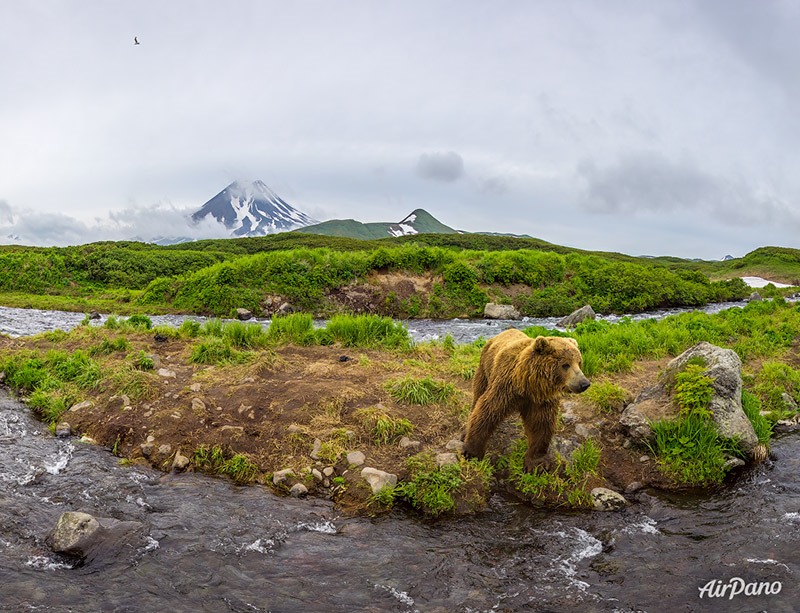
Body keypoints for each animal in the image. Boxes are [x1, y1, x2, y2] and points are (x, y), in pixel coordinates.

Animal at [462, 332, 588, 470]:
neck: (528, 385)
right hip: (485, 366)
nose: (584, 383)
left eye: (579, 362)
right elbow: (489, 410)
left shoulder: (541, 399)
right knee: (478, 392)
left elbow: (540, 423)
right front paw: (471, 452)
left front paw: (536, 463)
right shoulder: (506, 387)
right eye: (565, 365)